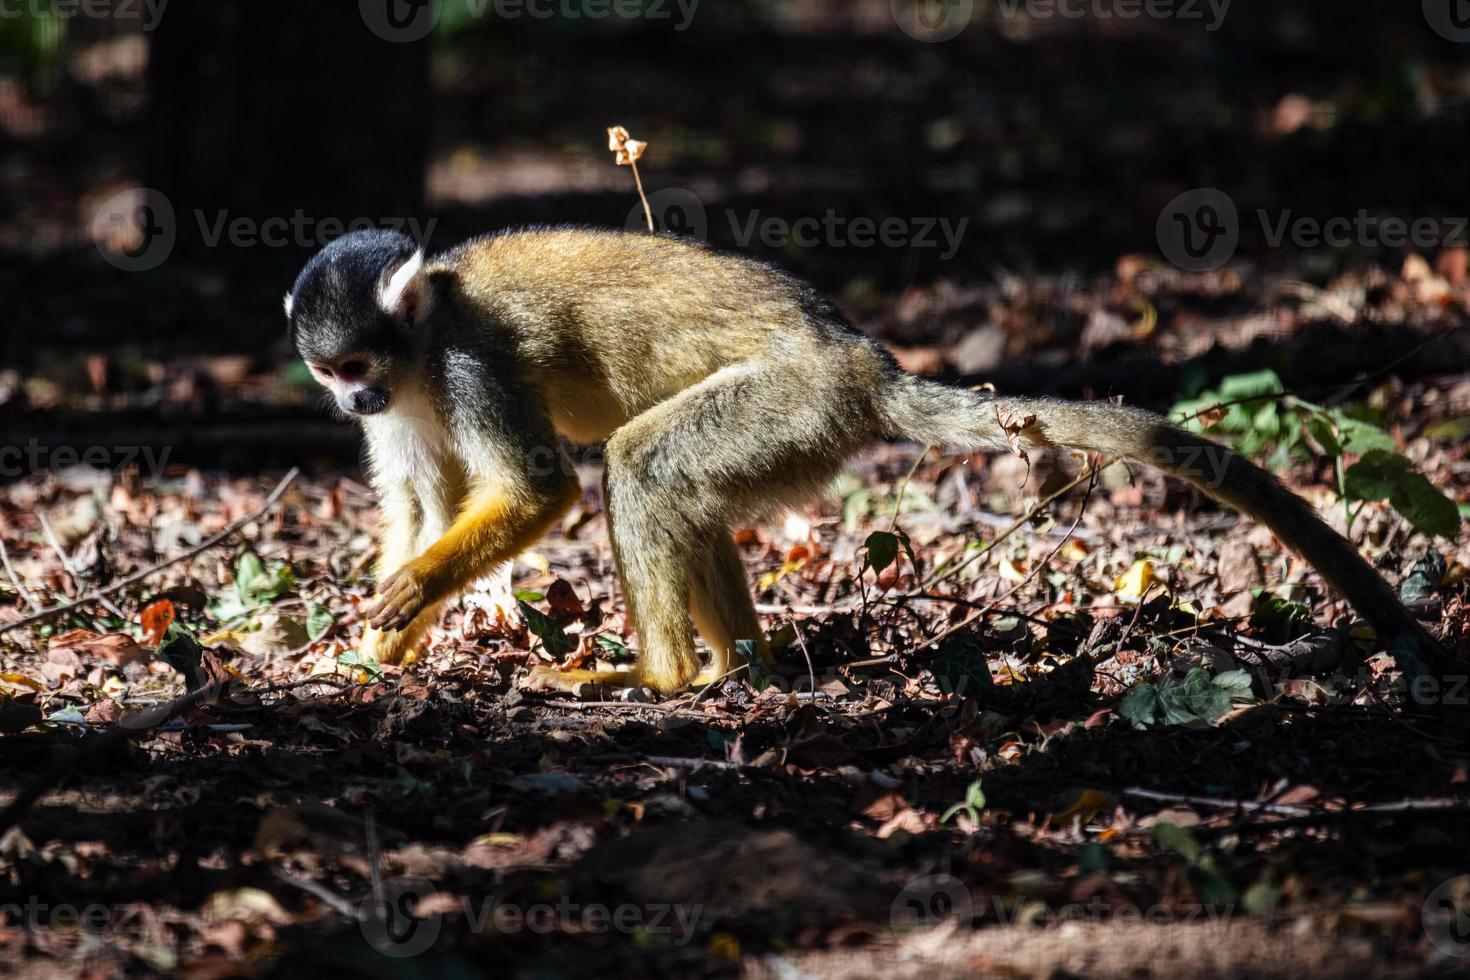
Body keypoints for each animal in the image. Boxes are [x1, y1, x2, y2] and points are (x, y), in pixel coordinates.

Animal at [283, 227, 1446, 693]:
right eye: (331, 374)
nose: (350, 397)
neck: (418, 348)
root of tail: (864, 358)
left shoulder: (464, 361)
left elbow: (539, 488)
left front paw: (405, 599)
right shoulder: (409, 392)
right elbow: (419, 500)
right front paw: (372, 650)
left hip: (799, 401)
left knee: (640, 466)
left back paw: (662, 679)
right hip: (805, 422)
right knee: (678, 485)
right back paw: (733, 668)